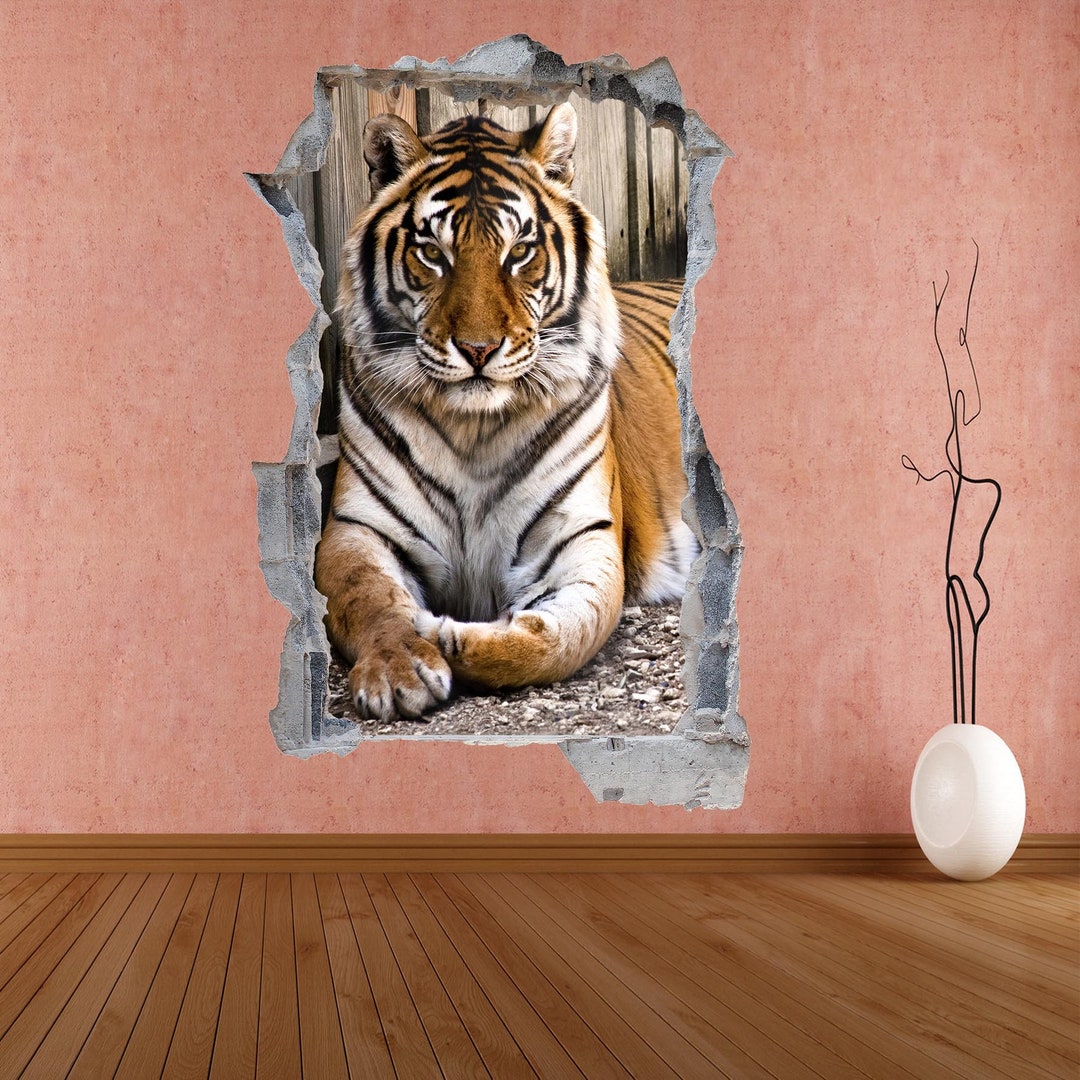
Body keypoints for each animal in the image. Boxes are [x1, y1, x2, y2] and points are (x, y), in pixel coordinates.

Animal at [314, 102, 696, 722]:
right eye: (432, 253)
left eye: (519, 252)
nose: (478, 350)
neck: (473, 431)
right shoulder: (357, 530)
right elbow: (367, 599)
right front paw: (398, 665)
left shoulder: (581, 542)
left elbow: (548, 642)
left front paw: (440, 632)